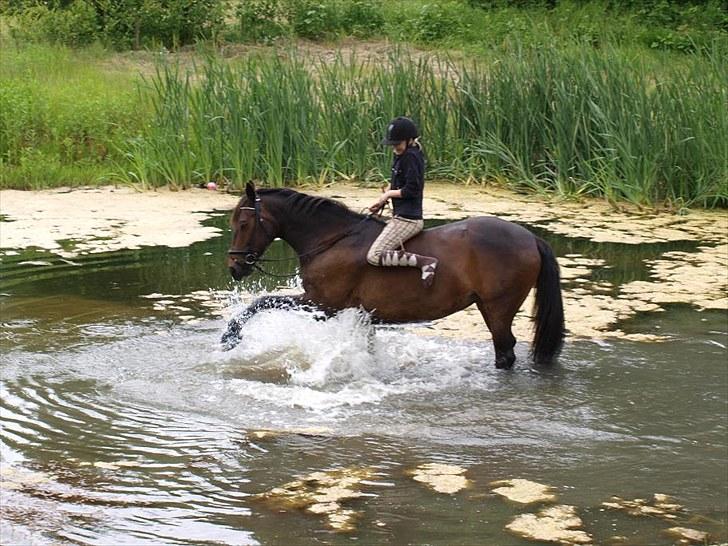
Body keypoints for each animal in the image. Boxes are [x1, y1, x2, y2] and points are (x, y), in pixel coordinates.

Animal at [225, 181, 564, 368]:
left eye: (243, 224)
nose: (234, 267)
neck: (331, 239)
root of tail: (531, 238)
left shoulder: (322, 304)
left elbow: (262, 302)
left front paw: (230, 336)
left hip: (498, 307)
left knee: (505, 350)